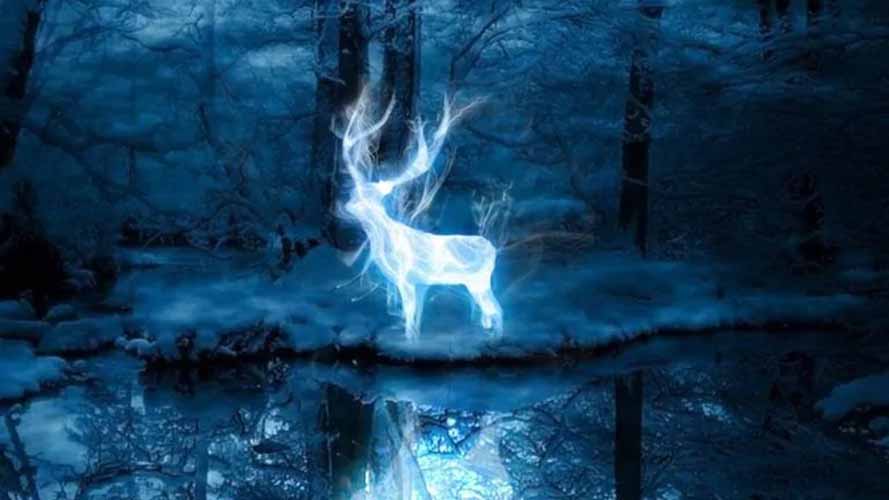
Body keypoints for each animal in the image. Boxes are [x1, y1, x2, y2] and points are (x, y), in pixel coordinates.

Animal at [338, 91, 503, 340]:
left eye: (369, 196)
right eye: (355, 193)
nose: (348, 206)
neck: (384, 240)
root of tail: (492, 249)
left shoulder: (406, 278)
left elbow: (410, 320)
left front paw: (409, 340)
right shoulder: (418, 284)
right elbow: (415, 317)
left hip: (478, 280)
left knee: (497, 308)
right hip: (476, 283)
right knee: (490, 309)